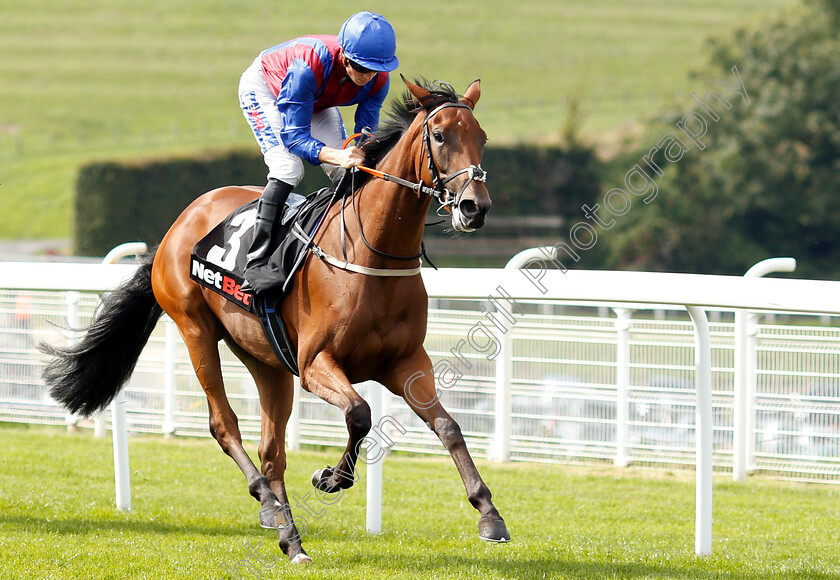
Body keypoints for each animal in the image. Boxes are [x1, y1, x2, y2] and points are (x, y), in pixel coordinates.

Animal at [42, 76, 508, 560]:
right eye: (440, 136)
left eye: (481, 138)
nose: (475, 207)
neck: (372, 256)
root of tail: (178, 224)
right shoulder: (315, 364)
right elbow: (359, 414)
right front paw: (331, 477)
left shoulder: (406, 363)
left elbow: (448, 426)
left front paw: (489, 514)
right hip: (195, 329)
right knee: (224, 425)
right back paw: (267, 503)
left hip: (266, 360)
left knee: (272, 452)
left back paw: (289, 536)